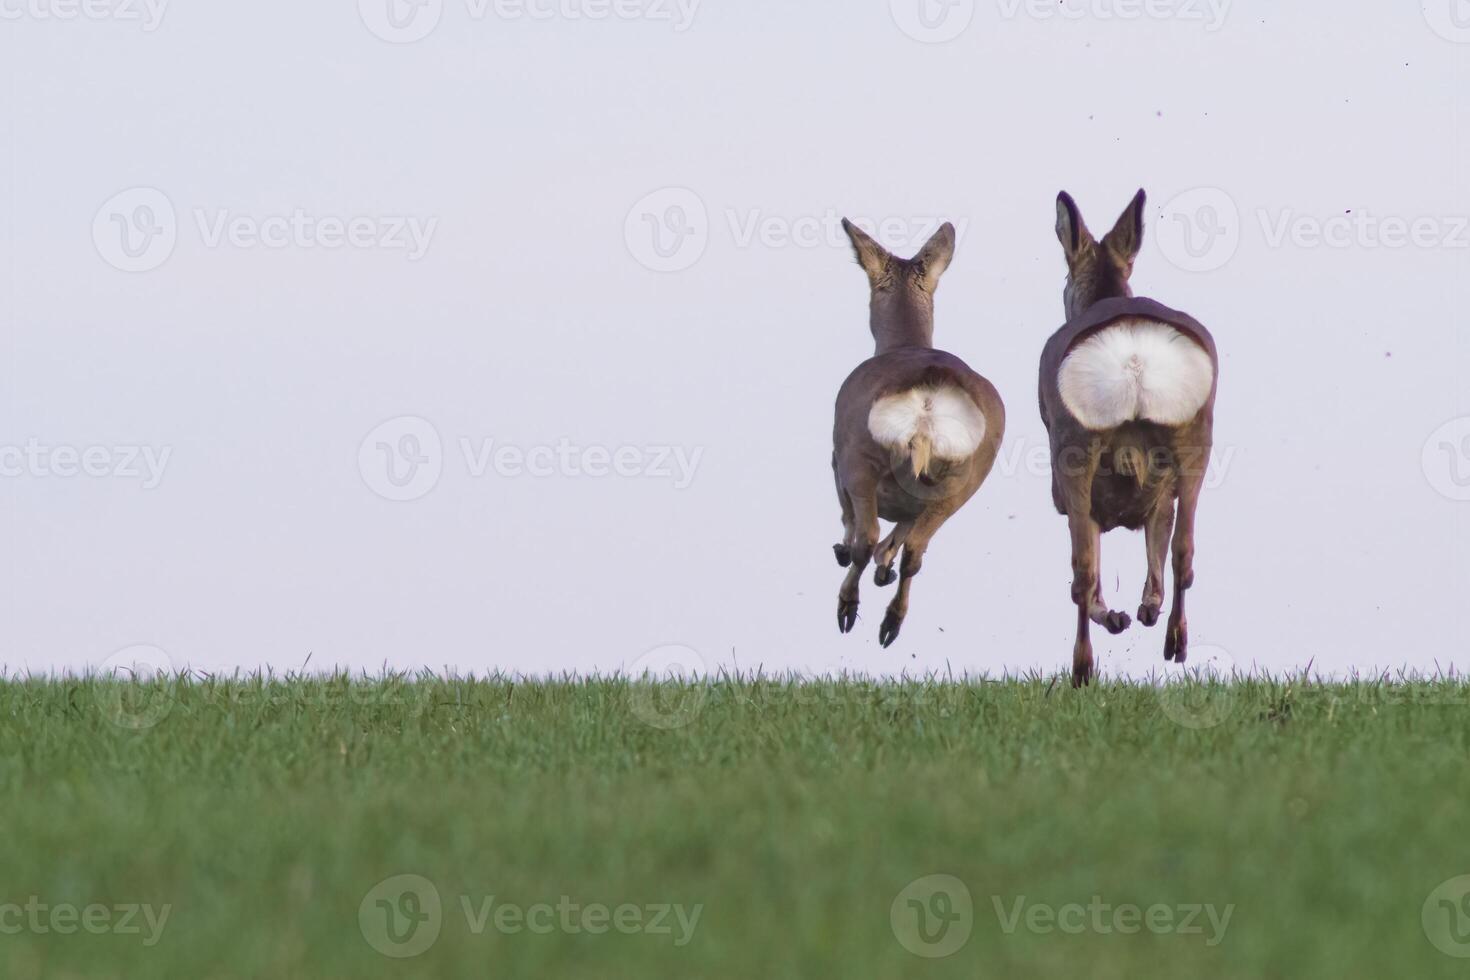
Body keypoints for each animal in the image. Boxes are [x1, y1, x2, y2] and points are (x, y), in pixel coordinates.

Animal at [834, 218, 1005, 646]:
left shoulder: (834, 457)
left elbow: (851, 520)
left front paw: (845, 552)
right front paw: (884, 570)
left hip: (860, 454)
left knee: (868, 536)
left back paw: (847, 608)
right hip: (965, 479)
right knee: (915, 549)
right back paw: (890, 622)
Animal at [1040, 188, 1223, 687]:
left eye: (1065, 277)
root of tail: (1134, 353)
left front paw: (1121, 616)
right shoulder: (1158, 485)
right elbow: (1159, 536)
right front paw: (1143, 610)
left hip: (1073, 445)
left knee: (1081, 570)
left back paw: (1083, 667)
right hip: (1196, 433)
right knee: (1184, 548)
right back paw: (1174, 641)